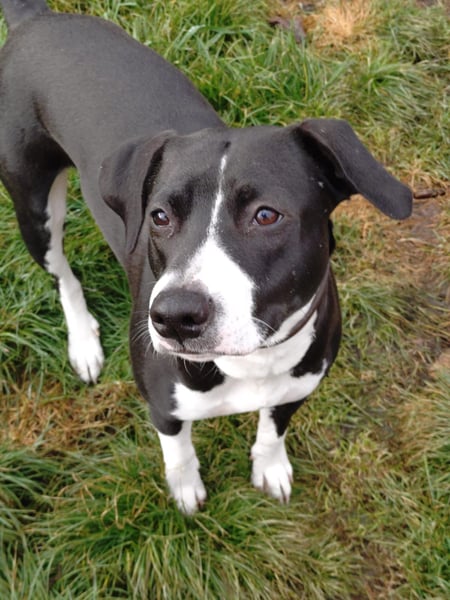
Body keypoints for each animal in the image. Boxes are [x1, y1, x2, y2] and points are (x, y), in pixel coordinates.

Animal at [0, 0, 412, 514]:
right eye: (158, 216)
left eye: (266, 215)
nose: (174, 317)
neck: (252, 362)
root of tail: (34, 17)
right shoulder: (164, 407)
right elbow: (178, 450)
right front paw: (185, 489)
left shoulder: (296, 389)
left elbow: (273, 430)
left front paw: (270, 466)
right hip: (33, 205)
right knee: (62, 275)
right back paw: (83, 343)